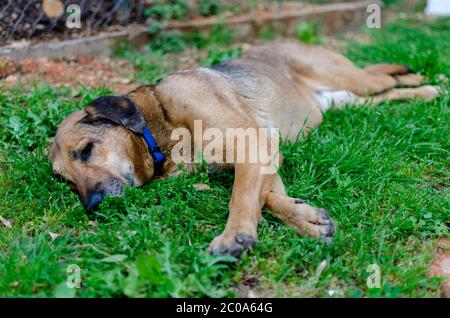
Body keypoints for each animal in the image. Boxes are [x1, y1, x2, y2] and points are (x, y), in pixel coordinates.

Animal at [49, 41, 440, 258]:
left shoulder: (251, 144)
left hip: (352, 78)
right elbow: (268, 196)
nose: (92, 205)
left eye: (86, 149)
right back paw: (422, 92)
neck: (160, 122)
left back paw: (427, 83)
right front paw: (307, 219)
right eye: (65, 181)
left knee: (385, 77)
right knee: (385, 95)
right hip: (348, 101)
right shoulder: (261, 154)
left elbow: (241, 197)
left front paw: (234, 234)